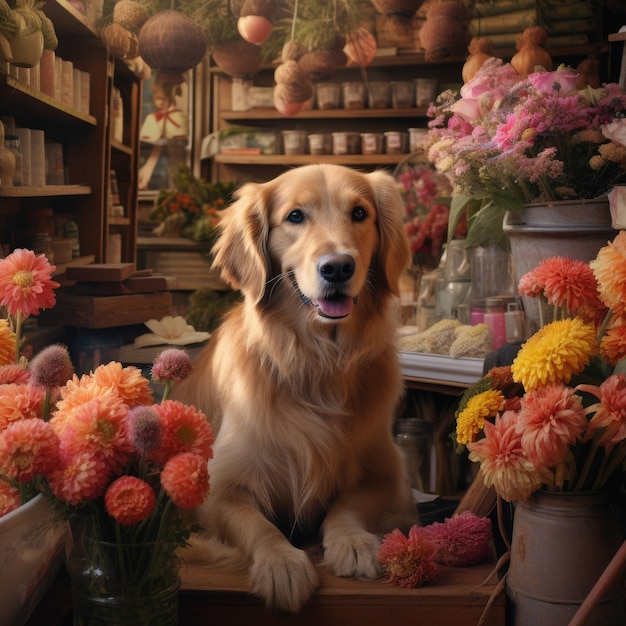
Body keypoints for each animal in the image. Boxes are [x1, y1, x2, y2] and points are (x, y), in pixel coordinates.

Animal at [171, 163, 416, 612]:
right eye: (296, 216)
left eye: (359, 213)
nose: (337, 267)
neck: (318, 363)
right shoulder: (216, 486)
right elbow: (258, 524)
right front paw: (281, 562)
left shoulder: (387, 474)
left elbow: (348, 504)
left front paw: (353, 542)